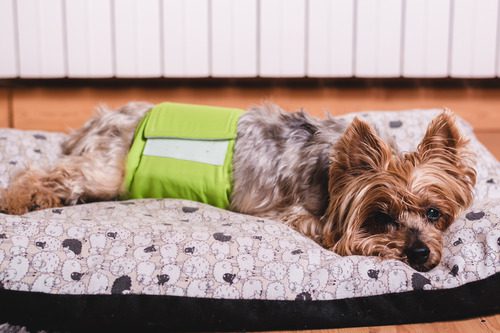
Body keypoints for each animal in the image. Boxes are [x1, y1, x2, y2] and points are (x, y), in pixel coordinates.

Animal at [0, 102, 476, 272]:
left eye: (434, 212)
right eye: (380, 217)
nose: (421, 254)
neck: (330, 168)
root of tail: (103, 117)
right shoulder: (300, 216)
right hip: (109, 171)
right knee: (47, 173)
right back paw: (17, 198)